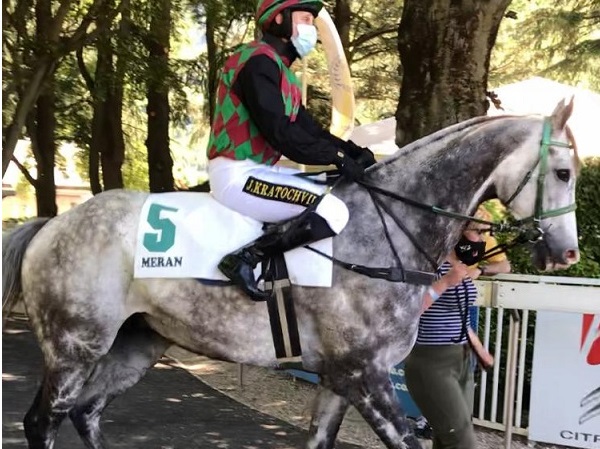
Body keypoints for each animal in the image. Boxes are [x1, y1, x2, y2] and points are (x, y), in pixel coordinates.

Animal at [1, 99, 580, 448]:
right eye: (563, 172)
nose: (568, 253)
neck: (384, 227)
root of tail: (56, 222)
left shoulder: (338, 378)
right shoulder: (365, 376)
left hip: (138, 344)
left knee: (86, 412)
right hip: (74, 346)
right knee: (43, 420)